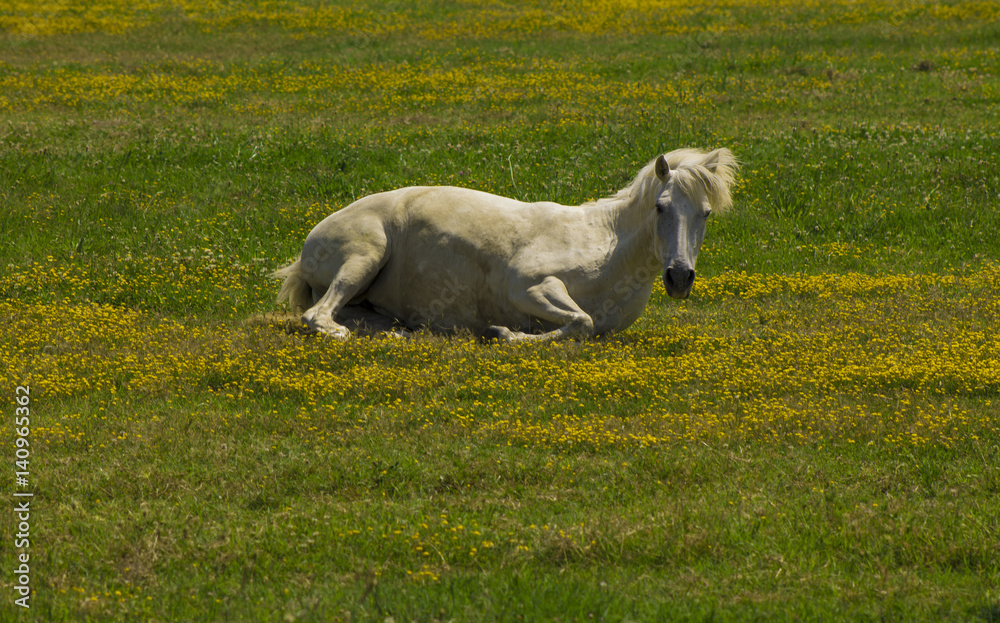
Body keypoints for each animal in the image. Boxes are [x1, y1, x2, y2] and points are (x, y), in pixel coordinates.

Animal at [272, 147, 737, 342]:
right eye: (660, 207)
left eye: (706, 214)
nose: (680, 278)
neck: (609, 247)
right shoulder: (528, 285)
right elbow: (581, 322)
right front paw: (505, 333)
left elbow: (583, 326)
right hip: (365, 255)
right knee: (317, 315)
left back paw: (398, 332)